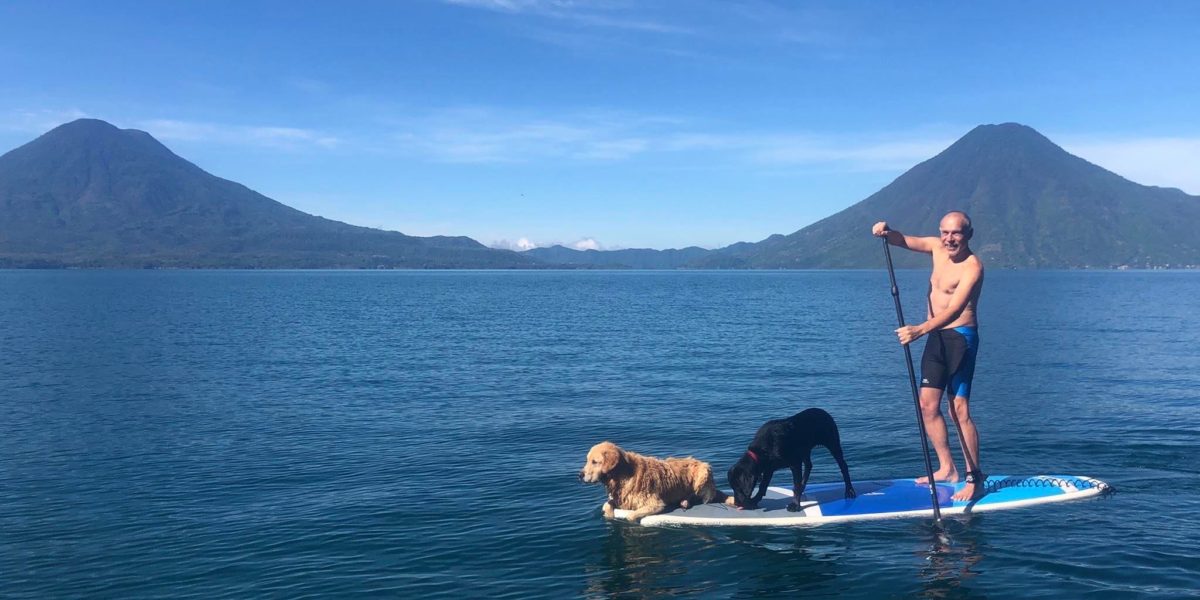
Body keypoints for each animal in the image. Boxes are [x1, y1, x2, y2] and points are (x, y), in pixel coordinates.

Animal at [724, 408, 859, 511]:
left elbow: (796, 484)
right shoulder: (768, 468)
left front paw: (795, 505)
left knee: (843, 466)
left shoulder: (795, 464)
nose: (736, 503)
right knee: (809, 465)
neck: (763, 449)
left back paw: (849, 490)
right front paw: (755, 500)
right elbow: (763, 485)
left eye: (738, 487)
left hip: (832, 443)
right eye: (732, 487)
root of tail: (824, 412)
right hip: (805, 450)